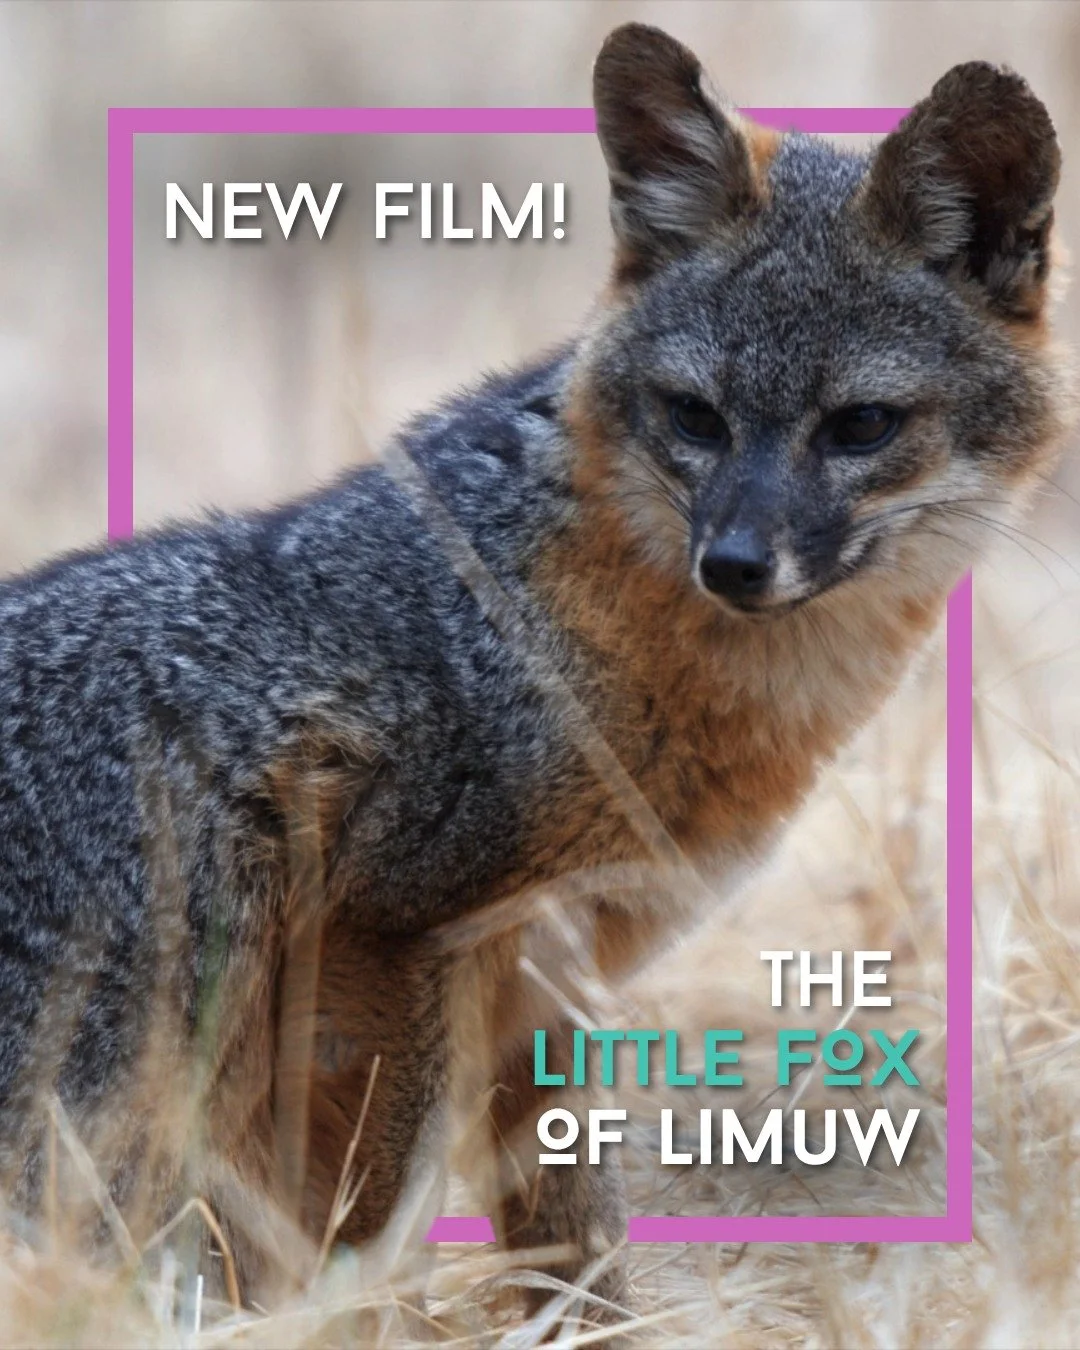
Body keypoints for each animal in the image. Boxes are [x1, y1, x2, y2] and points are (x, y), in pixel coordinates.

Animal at [0, 19, 1072, 1325]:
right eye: (695, 417)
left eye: (861, 427)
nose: (734, 562)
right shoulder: (392, 931)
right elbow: (351, 1234)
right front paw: (340, 1333)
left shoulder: (543, 984)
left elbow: (579, 1242)